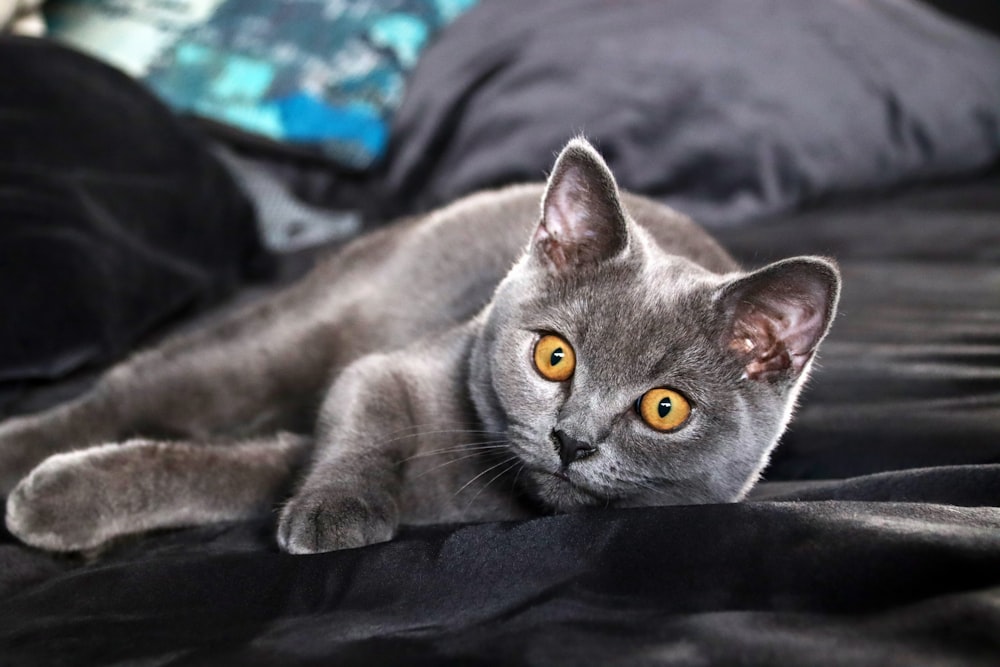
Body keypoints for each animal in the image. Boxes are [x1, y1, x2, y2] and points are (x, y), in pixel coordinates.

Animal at [3, 140, 840, 552]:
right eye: (555, 356)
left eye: (665, 408)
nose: (571, 441)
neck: (492, 494)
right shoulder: (386, 367)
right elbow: (364, 419)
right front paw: (338, 508)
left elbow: (231, 474)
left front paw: (66, 501)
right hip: (286, 337)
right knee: (138, 383)